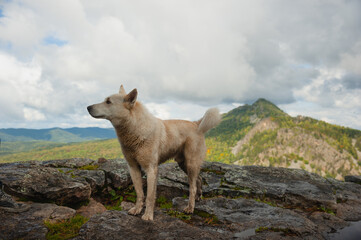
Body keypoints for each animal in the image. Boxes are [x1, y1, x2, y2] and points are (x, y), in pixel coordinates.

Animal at [88, 85, 222, 220]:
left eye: (108, 102)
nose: (88, 107)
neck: (134, 129)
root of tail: (196, 124)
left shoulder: (151, 169)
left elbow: (150, 196)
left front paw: (148, 215)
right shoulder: (133, 167)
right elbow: (140, 193)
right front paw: (137, 209)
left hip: (190, 164)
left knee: (192, 187)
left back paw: (190, 207)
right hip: (183, 164)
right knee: (199, 179)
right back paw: (198, 198)